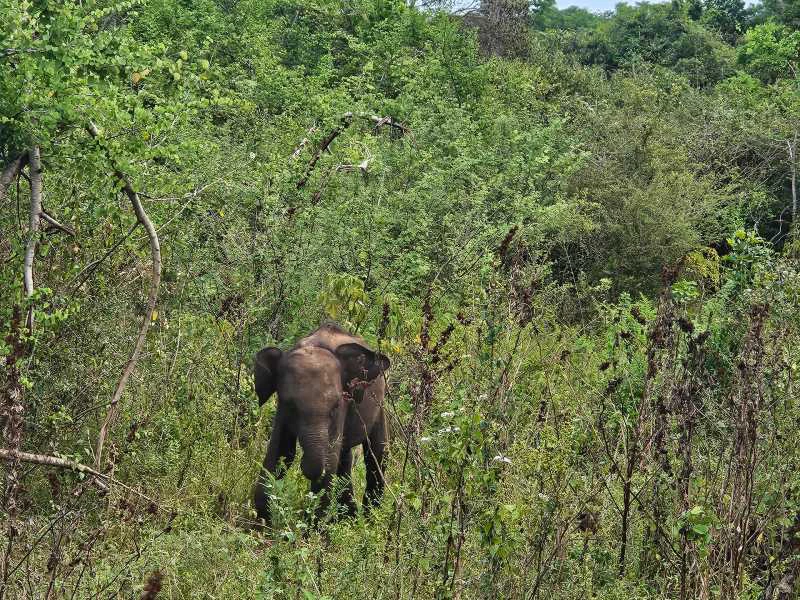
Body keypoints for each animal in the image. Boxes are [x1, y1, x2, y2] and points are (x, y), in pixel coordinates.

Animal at [252, 322, 391, 524]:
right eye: (291, 406)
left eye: (335, 406)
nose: (305, 467)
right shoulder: (282, 412)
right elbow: (281, 451)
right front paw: (263, 520)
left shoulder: (344, 407)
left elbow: (330, 458)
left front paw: (312, 525)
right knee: (345, 458)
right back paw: (348, 516)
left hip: (380, 407)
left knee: (376, 455)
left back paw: (367, 518)